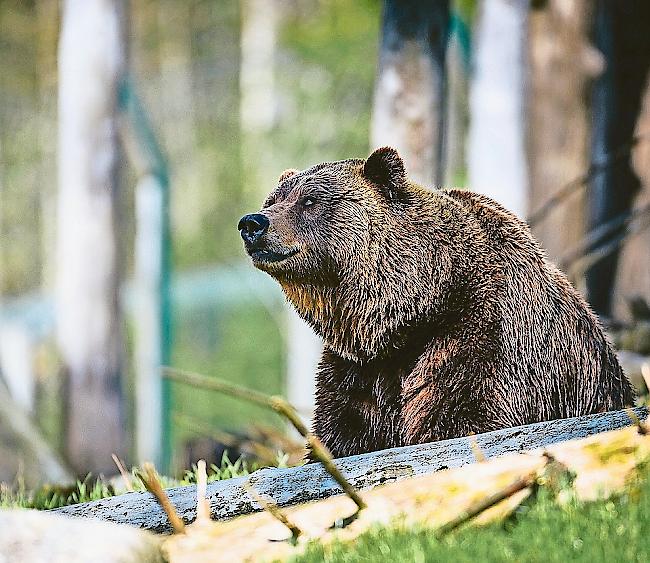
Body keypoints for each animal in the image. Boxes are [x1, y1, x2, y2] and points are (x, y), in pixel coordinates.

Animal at [235, 145, 632, 458]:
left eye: (310, 200)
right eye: (273, 199)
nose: (252, 223)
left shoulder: (485, 335)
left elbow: (463, 415)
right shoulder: (360, 369)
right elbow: (344, 431)